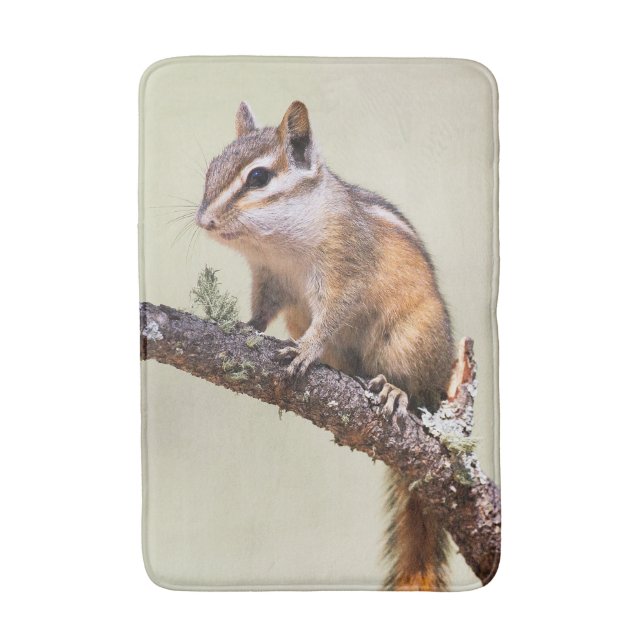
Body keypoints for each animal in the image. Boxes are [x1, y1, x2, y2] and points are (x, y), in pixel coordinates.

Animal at [196, 101, 455, 591]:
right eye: (210, 168)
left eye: (258, 178)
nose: (204, 222)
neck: (279, 245)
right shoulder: (269, 278)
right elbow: (262, 309)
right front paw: (245, 327)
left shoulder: (344, 271)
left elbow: (333, 316)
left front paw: (305, 350)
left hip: (413, 340)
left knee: (418, 394)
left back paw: (396, 391)